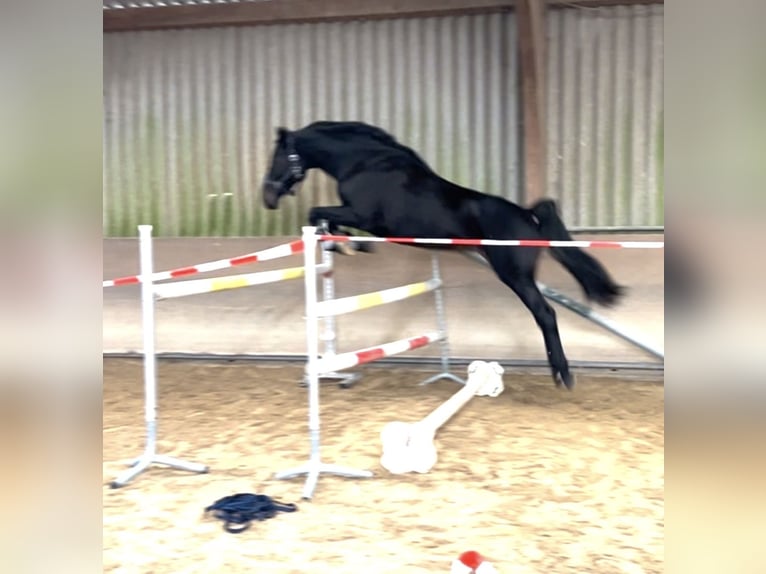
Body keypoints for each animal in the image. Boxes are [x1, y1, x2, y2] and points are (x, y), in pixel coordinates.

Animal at [261, 120, 624, 390]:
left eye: (278, 156)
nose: (267, 197)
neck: (366, 163)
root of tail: (528, 215)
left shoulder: (363, 216)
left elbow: (317, 212)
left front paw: (346, 244)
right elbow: (326, 219)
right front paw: (345, 243)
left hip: (516, 276)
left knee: (546, 315)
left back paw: (562, 375)